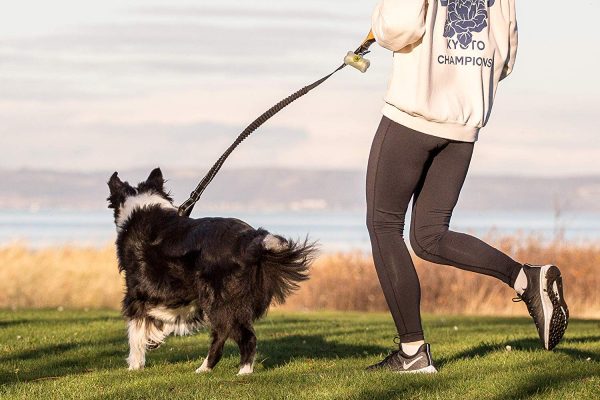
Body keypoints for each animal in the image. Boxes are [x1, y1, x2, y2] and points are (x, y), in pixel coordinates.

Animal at [108, 169, 316, 376]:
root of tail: (251, 241)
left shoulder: (138, 293)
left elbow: (136, 332)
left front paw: (134, 366)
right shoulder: (182, 293)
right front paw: (154, 339)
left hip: (219, 300)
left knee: (242, 336)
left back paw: (240, 372)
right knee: (224, 333)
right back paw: (206, 369)